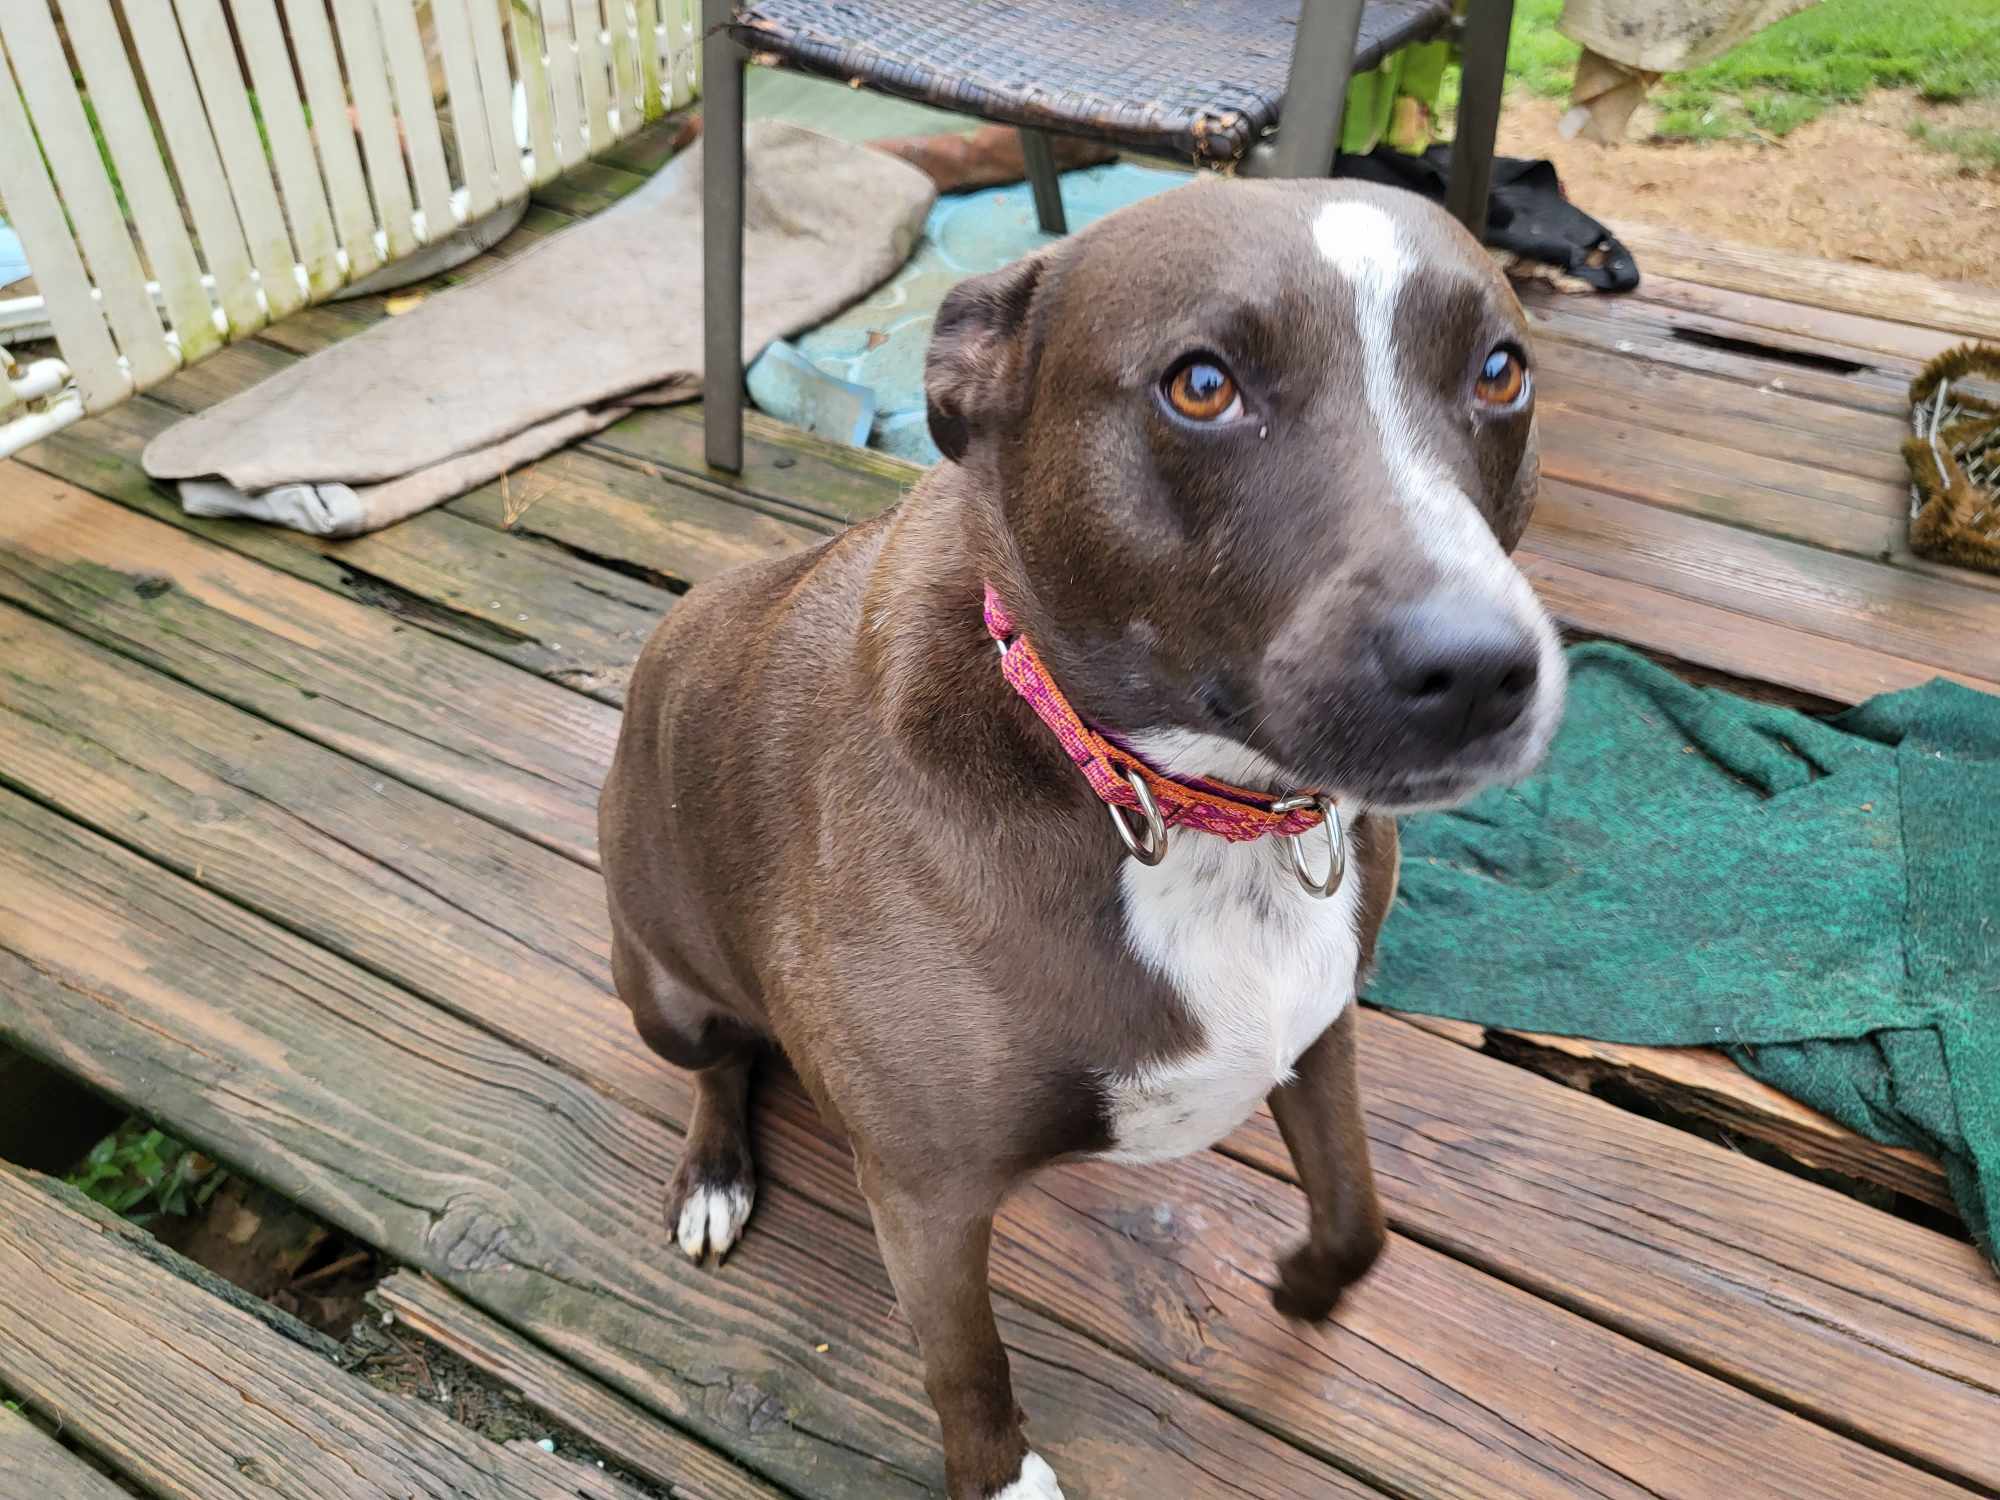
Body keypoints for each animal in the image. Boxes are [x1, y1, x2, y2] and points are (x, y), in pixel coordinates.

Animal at [600, 179, 1568, 1500]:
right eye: (1200, 385)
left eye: (1498, 371)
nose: (1476, 670)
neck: (1183, 803)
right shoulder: (925, 1196)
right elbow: (968, 1372)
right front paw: (1004, 1478)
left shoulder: (1315, 1034)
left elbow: (1358, 1218)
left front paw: (1303, 1288)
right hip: (663, 987)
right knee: (715, 1062)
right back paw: (712, 1174)